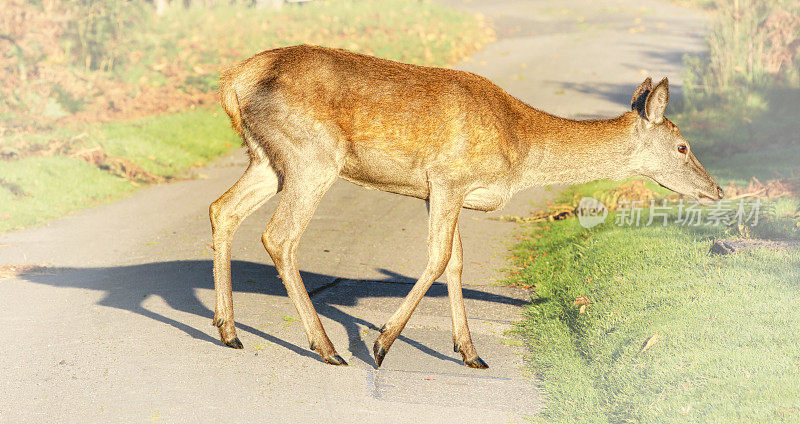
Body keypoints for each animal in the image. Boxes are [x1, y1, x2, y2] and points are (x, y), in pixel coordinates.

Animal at [209, 43, 720, 368]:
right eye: (682, 146)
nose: (715, 190)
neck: (520, 150)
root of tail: (232, 81)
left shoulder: (440, 193)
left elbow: (455, 262)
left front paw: (471, 353)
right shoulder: (448, 178)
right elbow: (437, 259)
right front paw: (381, 344)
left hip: (267, 157)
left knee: (222, 209)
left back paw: (229, 331)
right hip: (312, 156)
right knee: (279, 236)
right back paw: (327, 348)